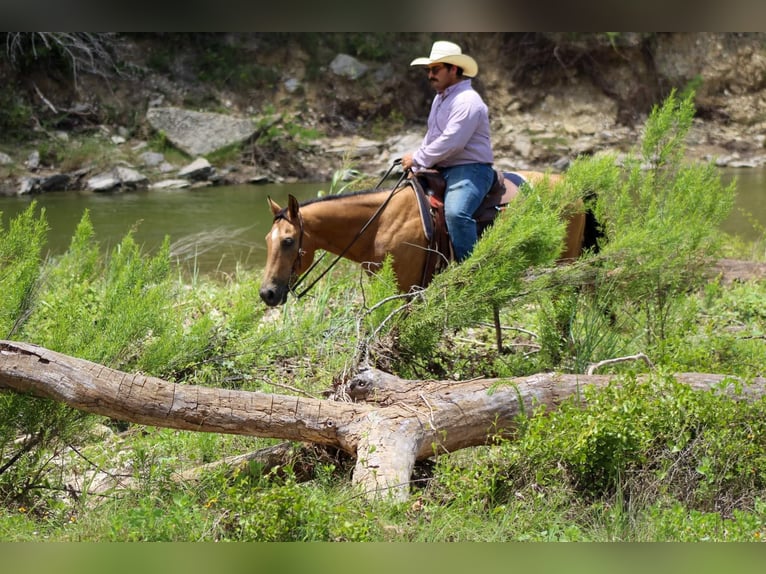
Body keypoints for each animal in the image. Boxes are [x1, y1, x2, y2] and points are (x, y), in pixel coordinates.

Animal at [258, 170, 592, 309]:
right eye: (267, 241)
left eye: (288, 241)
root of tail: (574, 187)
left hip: (564, 264)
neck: (379, 222)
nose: (267, 294)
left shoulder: (405, 289)